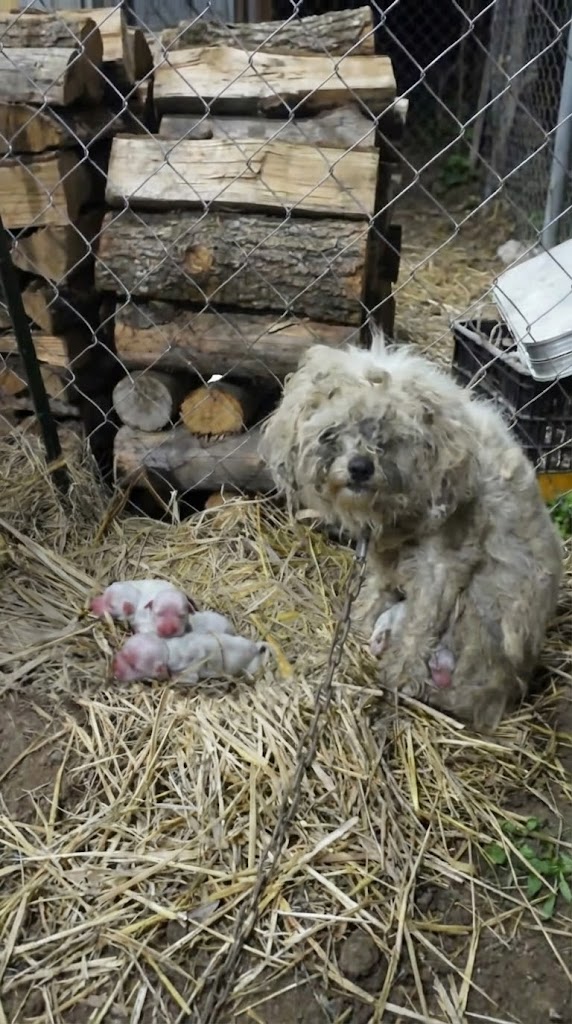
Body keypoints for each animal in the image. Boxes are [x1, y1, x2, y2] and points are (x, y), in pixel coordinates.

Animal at [259, 330, 563, 730]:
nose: (360, 468)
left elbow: (419, 625)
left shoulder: (442, 567)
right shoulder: (384, 555)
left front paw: (399, 676)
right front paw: (363, 623)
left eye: (388, 436)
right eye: (332, 432)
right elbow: (378, 590)